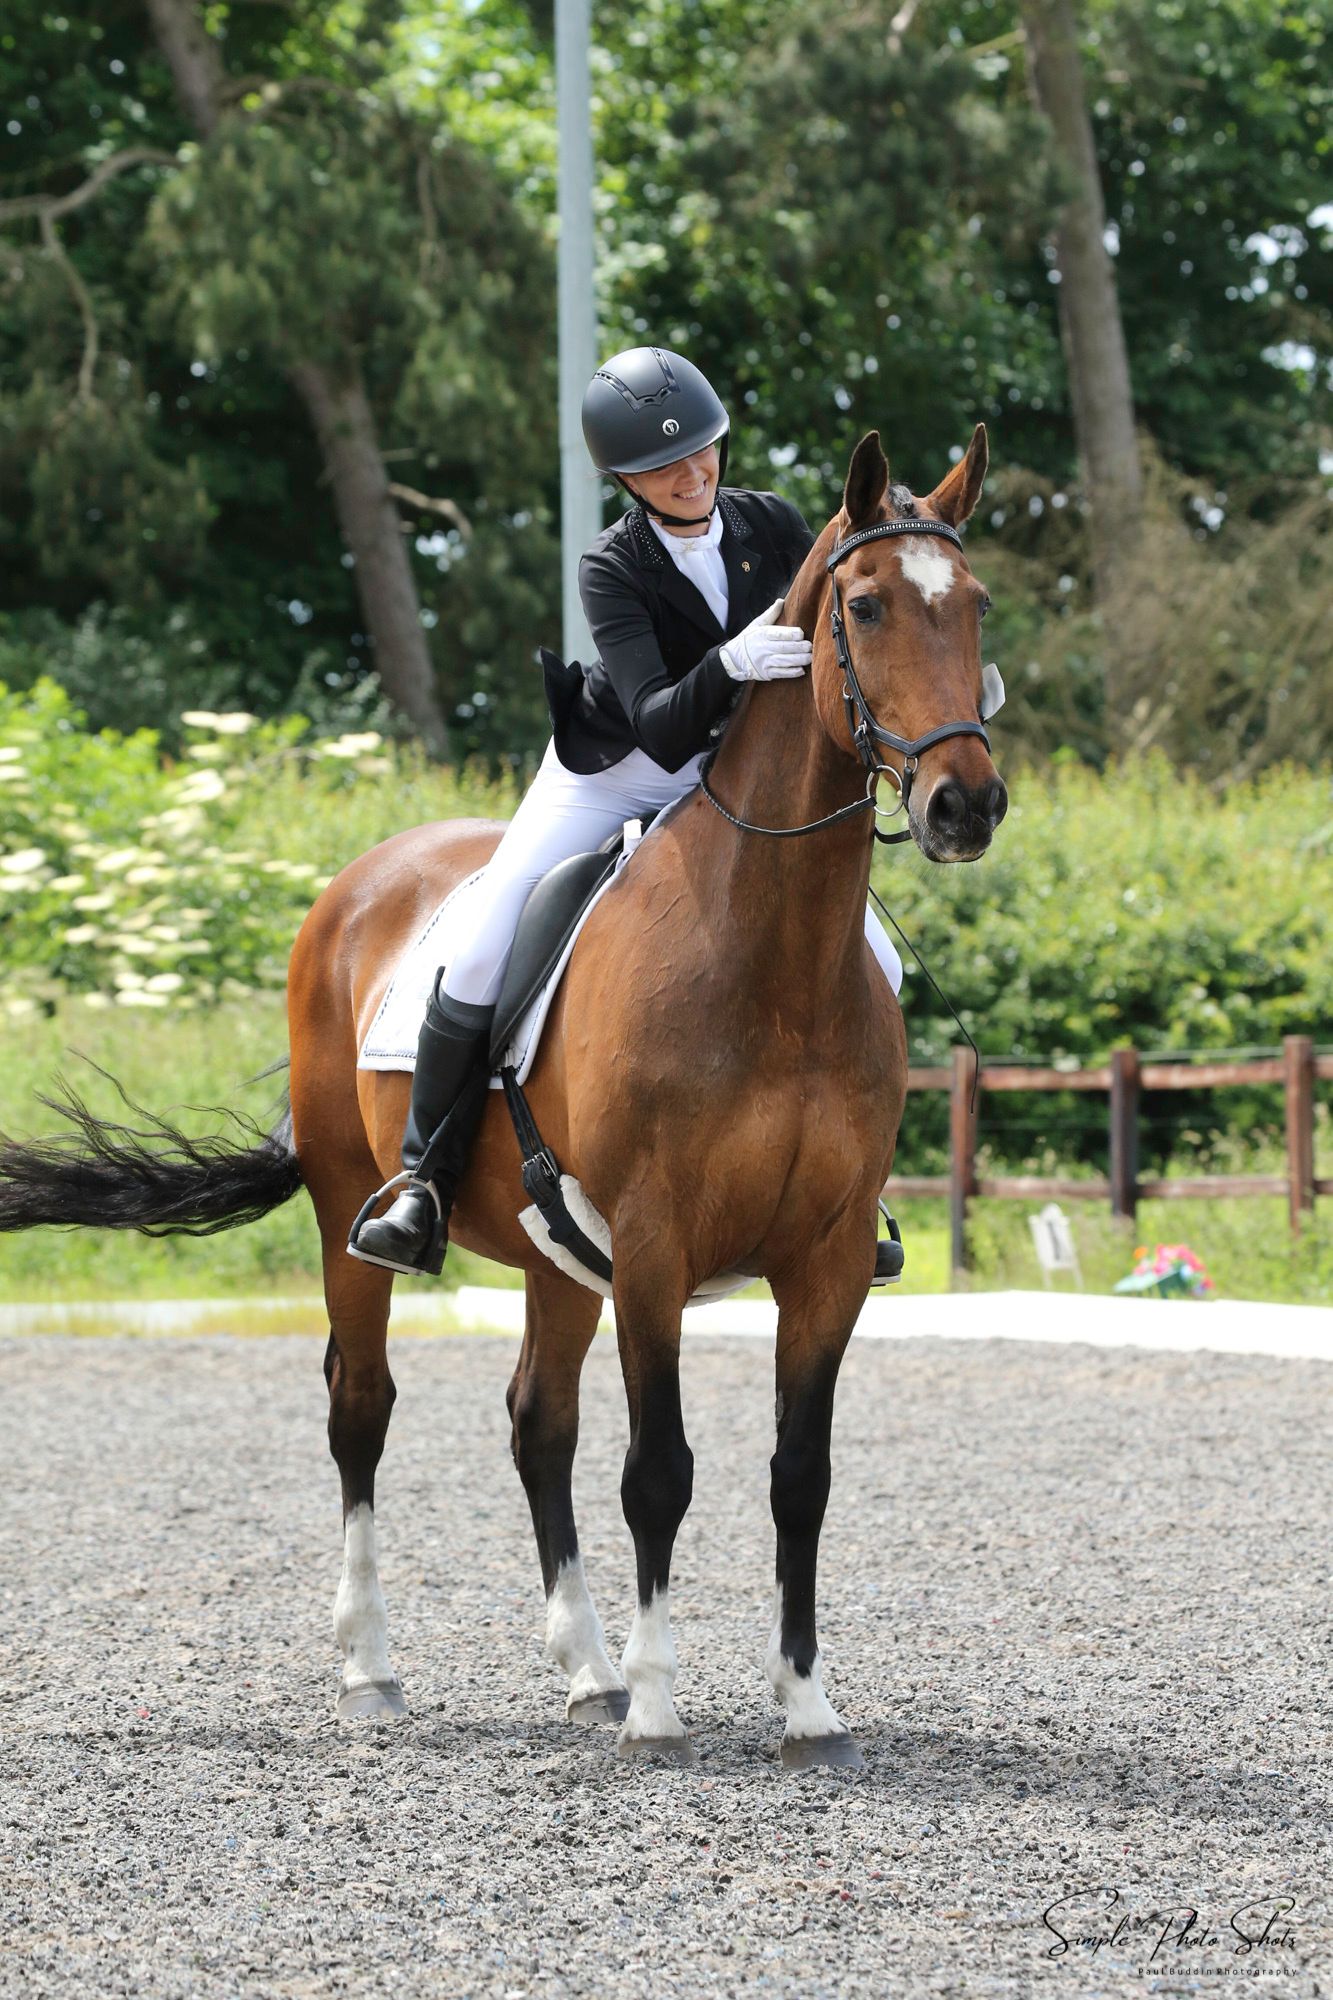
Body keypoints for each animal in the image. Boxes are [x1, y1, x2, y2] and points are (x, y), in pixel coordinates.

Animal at [0, 426, 1005, 1769]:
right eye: (864, 606)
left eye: (975, 603)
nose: (964, 803)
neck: (771, 951)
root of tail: (361, 879)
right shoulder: (654, 1244)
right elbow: (659, 1469)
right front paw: (662, 1704)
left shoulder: (828, 1253)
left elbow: (800, 1473)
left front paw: (804, 1708)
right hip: (353, 1214)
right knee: (361, 1409)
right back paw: (376, 1669)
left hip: (557, 1253)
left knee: (539, 1420)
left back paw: (584, 1674)